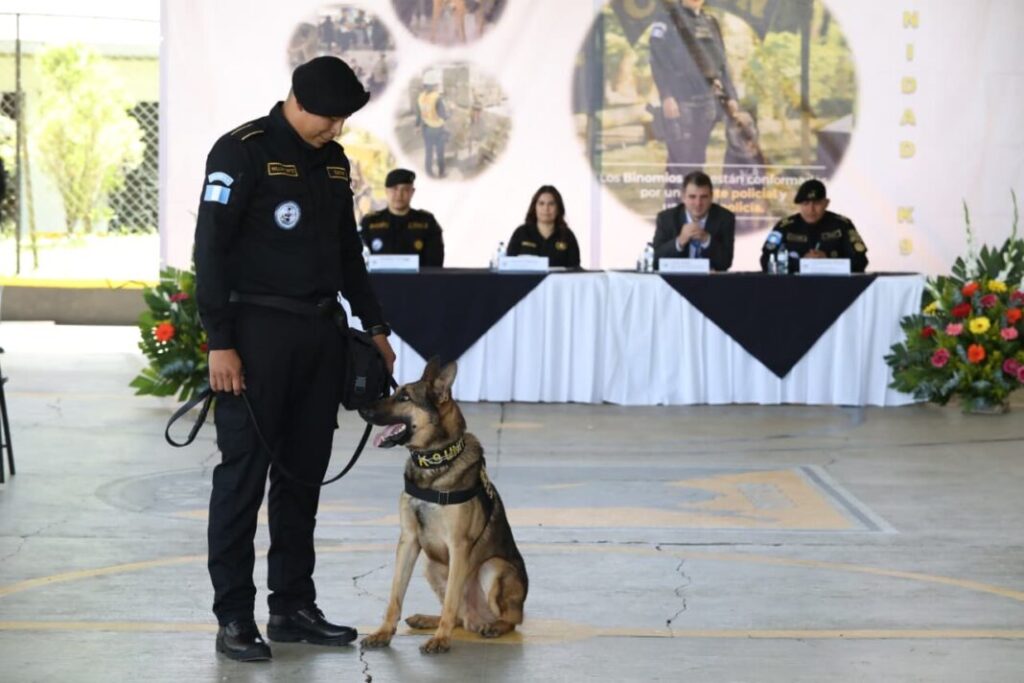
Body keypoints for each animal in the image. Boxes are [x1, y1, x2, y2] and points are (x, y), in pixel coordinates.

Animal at [359, 358, 528, 654]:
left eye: (404, 397)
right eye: (394, 392)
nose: (361, 409)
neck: (434, 461)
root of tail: (476, 619)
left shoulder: (458, 546)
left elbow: (450, 600)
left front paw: (441, 639)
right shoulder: (409, 540)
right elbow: (395, 595)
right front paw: (383, 633)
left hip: (494, 567)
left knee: (510, 618)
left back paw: (494, 626)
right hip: (432, 565)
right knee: (459, 615)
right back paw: (428, 619)